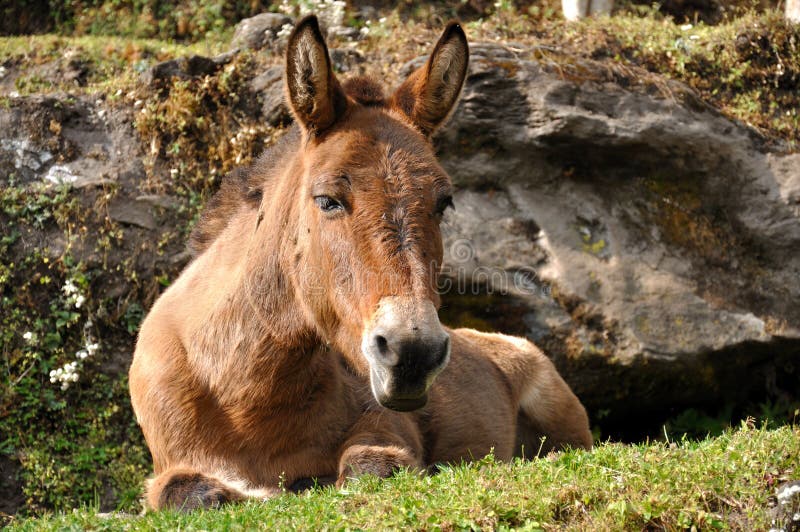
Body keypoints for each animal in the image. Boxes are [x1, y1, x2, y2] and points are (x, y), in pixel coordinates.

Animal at [129, 15, 592, 511]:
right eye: (328, 200)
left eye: (443, 202)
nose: (413, 354)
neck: (243, 395)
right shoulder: (174, 467)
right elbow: (192, 493)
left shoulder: (388, 432)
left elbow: (370, 467)